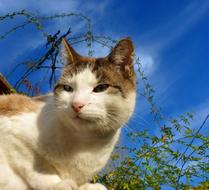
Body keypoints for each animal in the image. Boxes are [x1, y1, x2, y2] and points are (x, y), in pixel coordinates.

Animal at [0, 37, 136, 190]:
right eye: (67, 88)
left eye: (100, 88)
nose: (76, 104)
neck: (86, 143)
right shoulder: (11, 130)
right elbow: (37, 166)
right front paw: (58, 184)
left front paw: (88, 187)